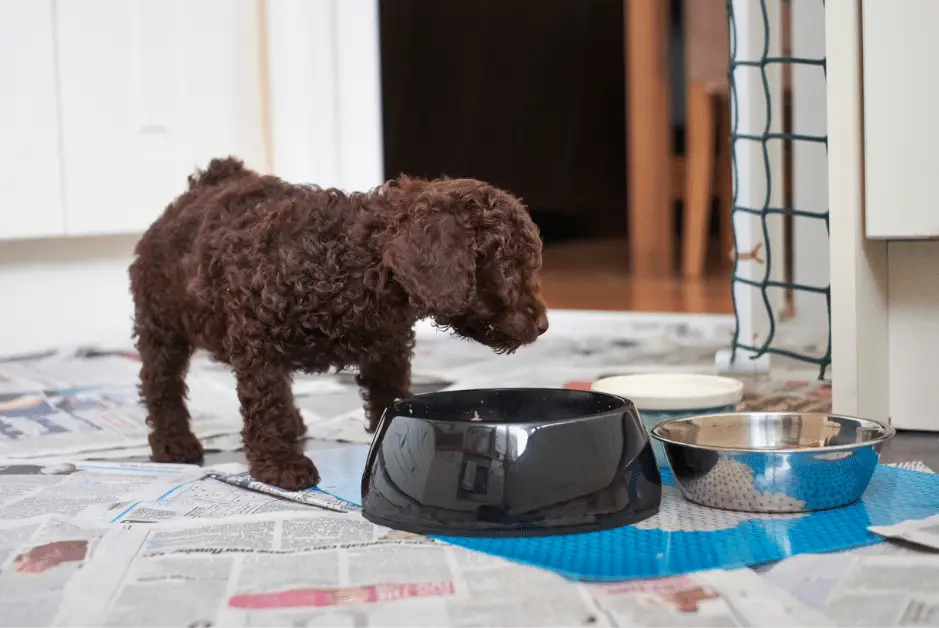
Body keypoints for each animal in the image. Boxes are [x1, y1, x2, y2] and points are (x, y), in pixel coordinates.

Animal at [129, 157, 548, 490]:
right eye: (508, 269)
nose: (544, 324)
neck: (355, 264)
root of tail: (206, 182)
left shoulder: (388, 349)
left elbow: (387, 396)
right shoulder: (258, 343)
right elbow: (267, 404)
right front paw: (280, 466)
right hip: (160, 323)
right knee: (161, 384)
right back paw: (173, 442)